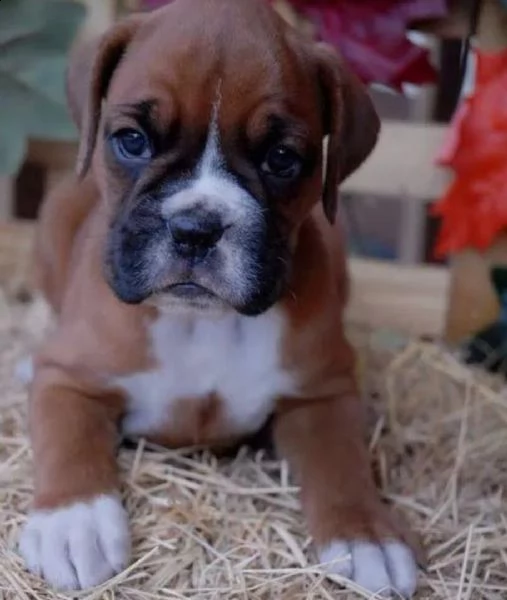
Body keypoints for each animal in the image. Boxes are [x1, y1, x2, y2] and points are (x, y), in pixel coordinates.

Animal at [17, 0, 420, 592]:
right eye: (132, 140)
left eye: (282, 158)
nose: (196, 228)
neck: (201, 322)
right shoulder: (69, 379)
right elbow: (69, 439)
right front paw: (75, 522)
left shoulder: (322, 395)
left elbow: (340, 460)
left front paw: (366, 533)